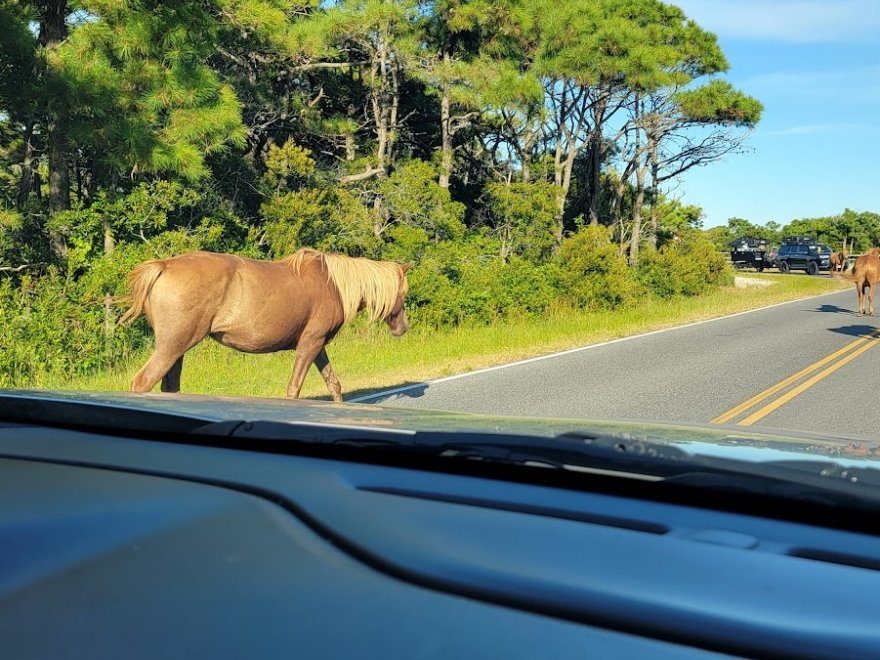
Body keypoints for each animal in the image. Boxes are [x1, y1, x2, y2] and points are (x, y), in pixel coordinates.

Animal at [118, 249, 410, 400]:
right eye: (403, 292)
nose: (403, 328)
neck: (333, 286)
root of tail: (164, 266)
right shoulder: (310, 344)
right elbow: (294, 389)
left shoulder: (317, 346)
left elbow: (334, 384)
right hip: (172, 346)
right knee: (143, 382)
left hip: (177, 350)